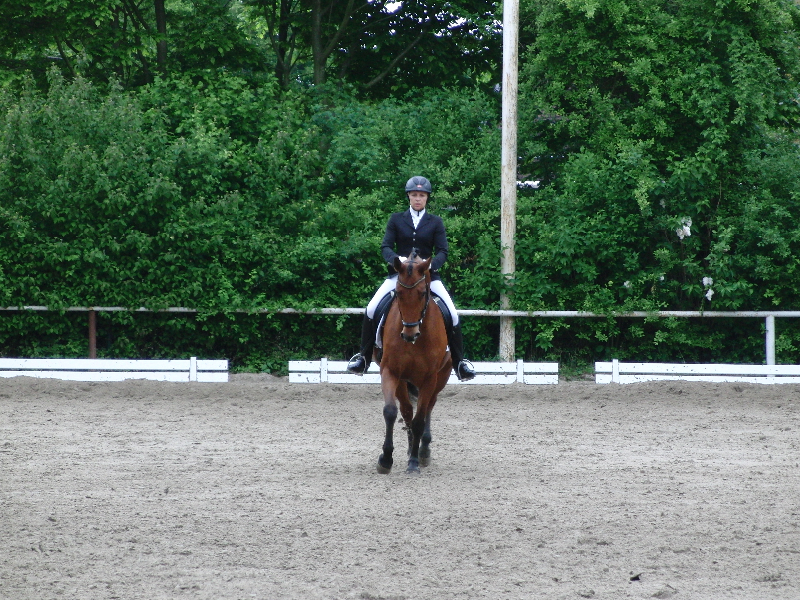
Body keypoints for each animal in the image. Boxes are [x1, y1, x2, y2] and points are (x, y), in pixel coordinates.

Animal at [374, 249, 452, 474]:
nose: (409, 335)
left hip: (441, 377)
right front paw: (386, 459)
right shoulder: (391, 372)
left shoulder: (429, 378)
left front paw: (414, 462)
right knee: (407, 411)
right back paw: (411, 448)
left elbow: (419, 419)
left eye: (422, 294)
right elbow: (392, 412)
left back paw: (423, 451)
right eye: (398, 293)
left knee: (428, 408)